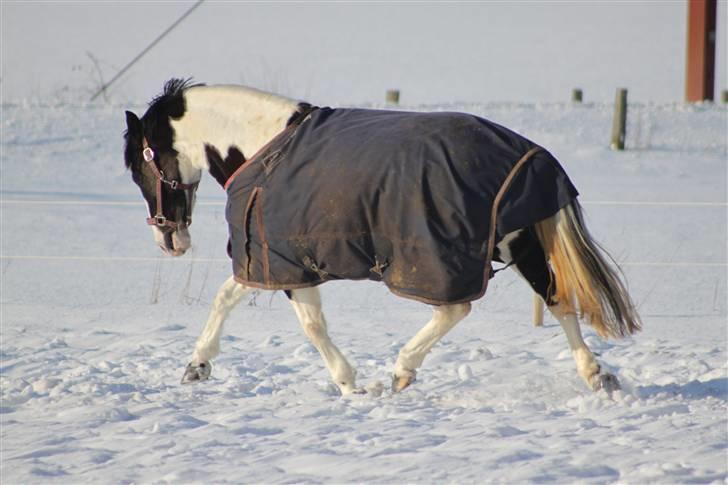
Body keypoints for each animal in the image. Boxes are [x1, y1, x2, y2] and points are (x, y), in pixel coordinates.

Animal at [125, 79, 644, 396]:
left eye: (137, 165)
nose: (169, 241)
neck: (263, 146)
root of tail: (530, 153)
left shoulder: (286, 262)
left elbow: (310, 325)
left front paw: (351, 385)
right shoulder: (273, 261)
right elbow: (227, 296)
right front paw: (197, 366)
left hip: (447, 257)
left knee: (457, 308)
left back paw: (401, 371)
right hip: (518, 244)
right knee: (558, 300)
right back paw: (597, 375)